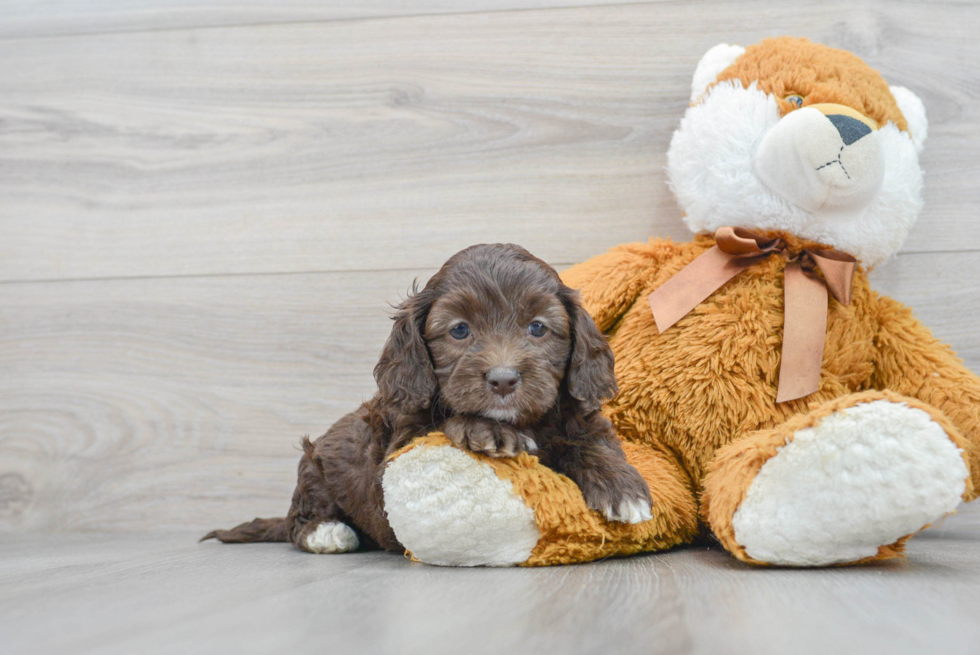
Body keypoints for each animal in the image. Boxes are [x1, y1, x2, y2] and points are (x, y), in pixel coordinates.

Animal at [204, 243, 656, 556]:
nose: (503, 379)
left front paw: (621, 487)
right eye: (459, 330)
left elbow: (592, 442)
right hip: (314, 464)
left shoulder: (578, 416)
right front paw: (486, 430)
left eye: (538, 328)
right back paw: (327, 532)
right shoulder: (397, 450)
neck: (522, 419)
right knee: (299, 518)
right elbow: (443, 421)